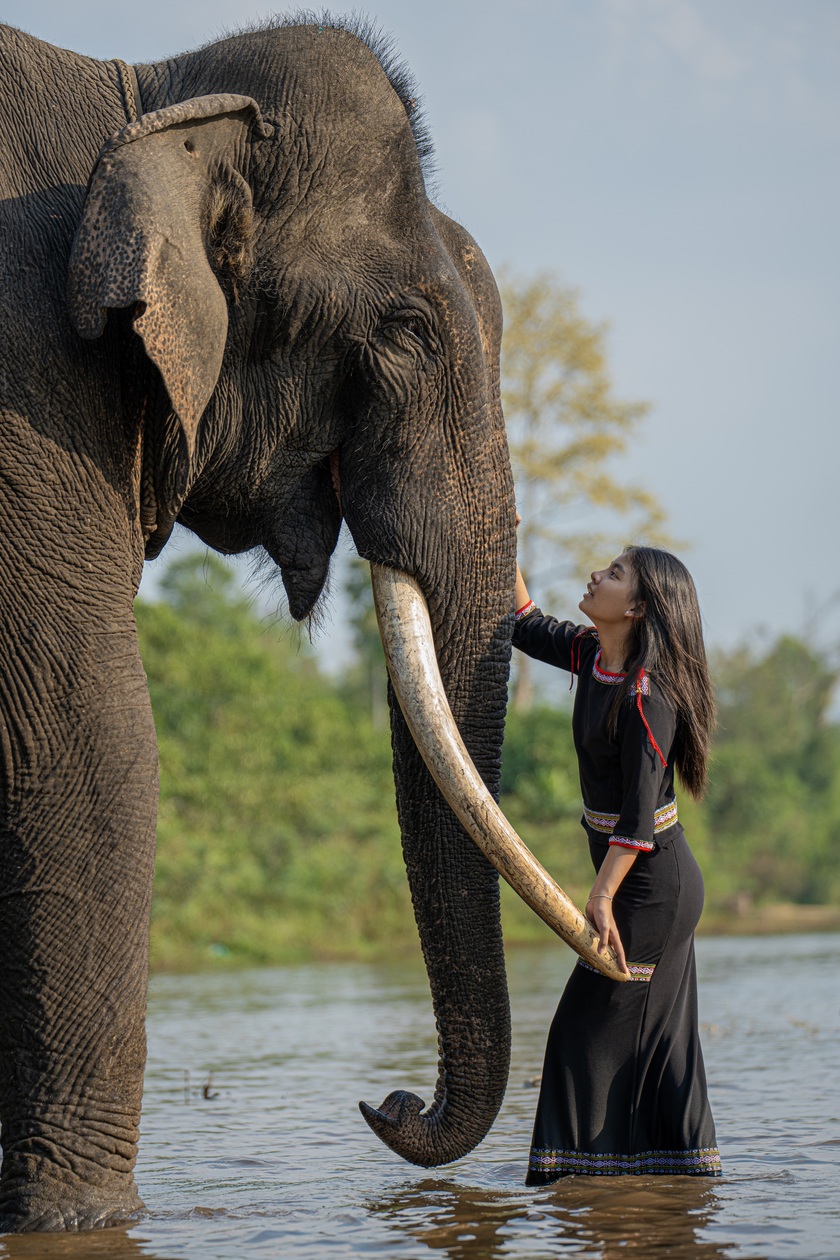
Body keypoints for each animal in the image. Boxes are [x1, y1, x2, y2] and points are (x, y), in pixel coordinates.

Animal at [0, 9, 617, 1229]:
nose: (389, 1102)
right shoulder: (32, 391)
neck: (150, 89)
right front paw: (80, 1221)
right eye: (409, 332)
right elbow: (88, 749)